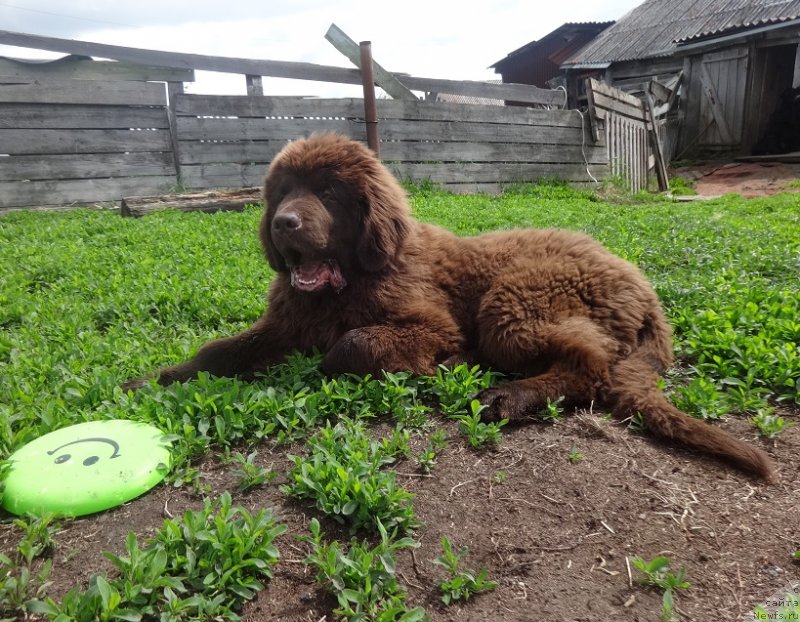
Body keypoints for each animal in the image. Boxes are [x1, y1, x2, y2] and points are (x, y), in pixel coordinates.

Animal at [125, 132, 776, 482]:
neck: (347, 283)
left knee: (588, 366)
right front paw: (155, 377)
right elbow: (219, 348)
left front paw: (424, 364)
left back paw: (508, 396)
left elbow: (349, 345)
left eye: (328, 191)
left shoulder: (430, 323)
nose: (284, 223)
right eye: (283, 192)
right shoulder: (283, 323)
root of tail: (644, 289)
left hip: (512, 302)